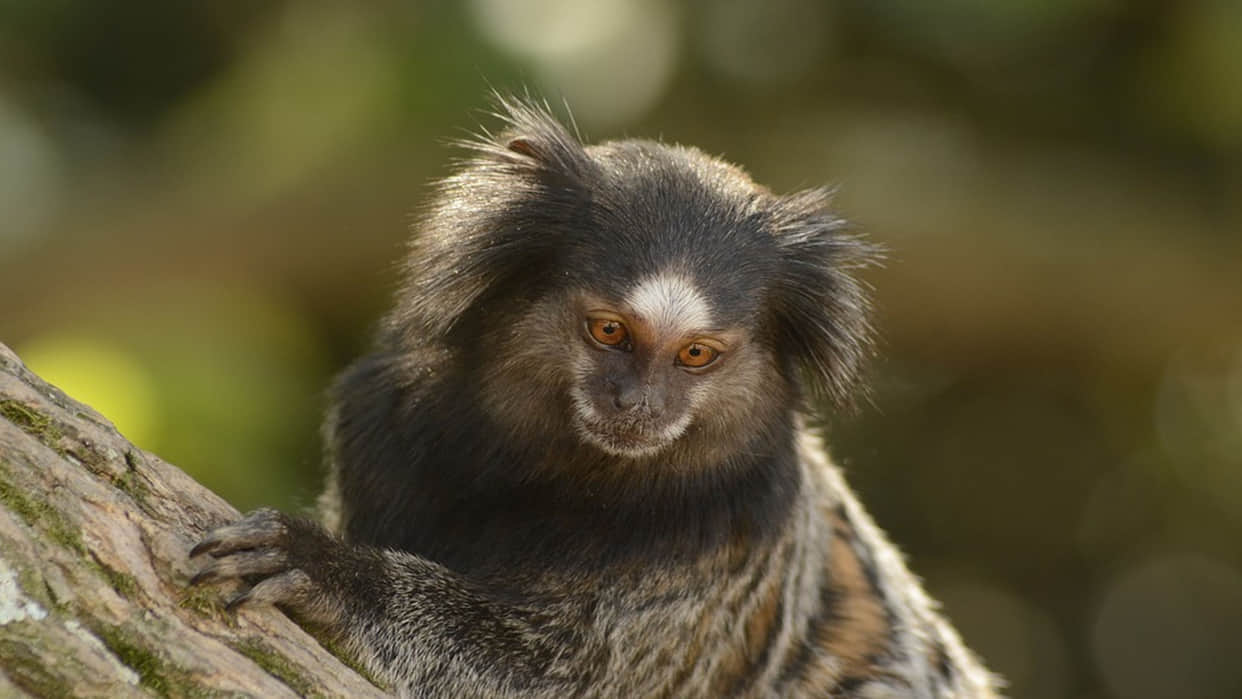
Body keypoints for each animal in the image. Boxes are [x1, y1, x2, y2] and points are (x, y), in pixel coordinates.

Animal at [189, 96, 1000, 697]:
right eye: (610, 331)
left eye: (696, 354)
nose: (637, 404)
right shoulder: (378, 426)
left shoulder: (726, 539)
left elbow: (559, 672)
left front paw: (334, 572)